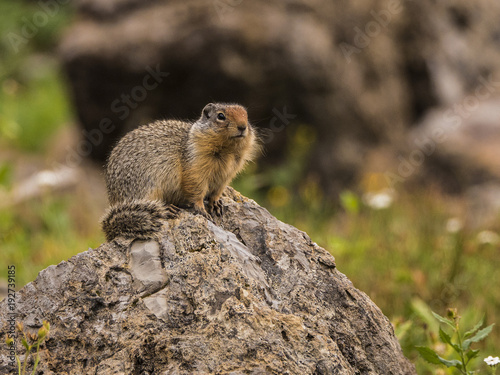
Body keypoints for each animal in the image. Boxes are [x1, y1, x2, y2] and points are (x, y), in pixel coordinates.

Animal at [100, 102, 260, 241]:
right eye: (221, 116)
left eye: (246, 116)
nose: (242, 127)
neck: (227, 150)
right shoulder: (195, 165)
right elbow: (196, 188)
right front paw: (201, 209)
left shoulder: (226, 174)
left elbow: (218, 189)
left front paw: (216, 203)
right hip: (146, 186)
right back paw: (168, 208)